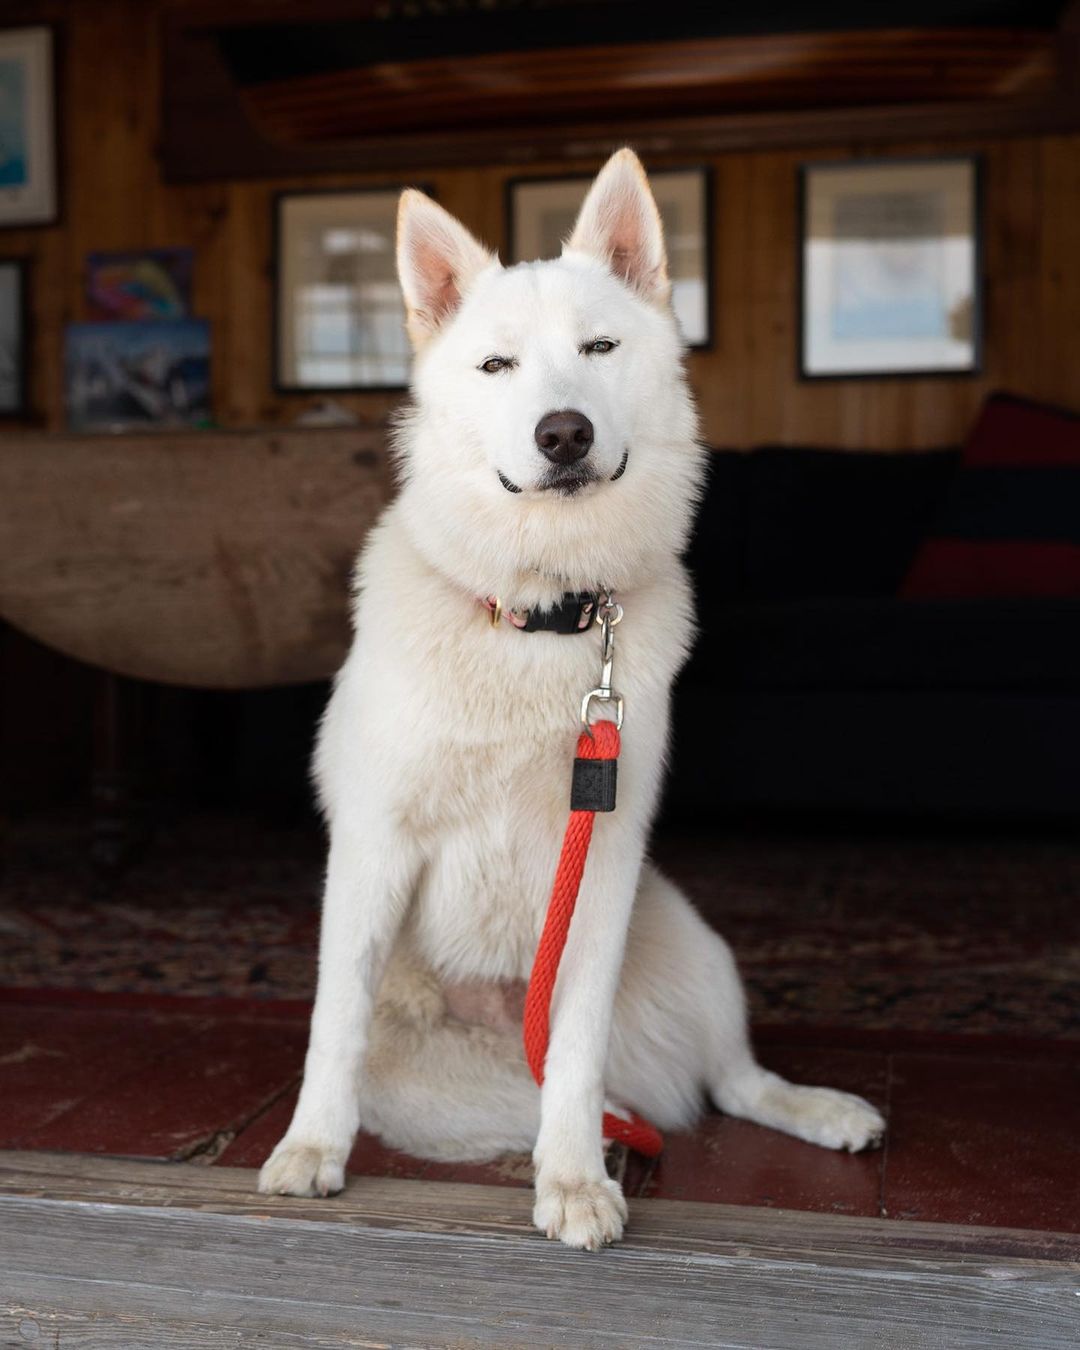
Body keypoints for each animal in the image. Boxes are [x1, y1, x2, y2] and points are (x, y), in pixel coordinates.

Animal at [261, 147, 885, 1242]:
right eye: (496, 367)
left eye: (599, 347)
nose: (564, 433)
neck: (539, 613)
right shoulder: (376, 848)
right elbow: (332, 1028)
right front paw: (311, 1151)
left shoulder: (599, 866)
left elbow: (579, 1051)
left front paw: (575, 1180)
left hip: (693, 943)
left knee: (724, 1081)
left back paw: (812, 1112)